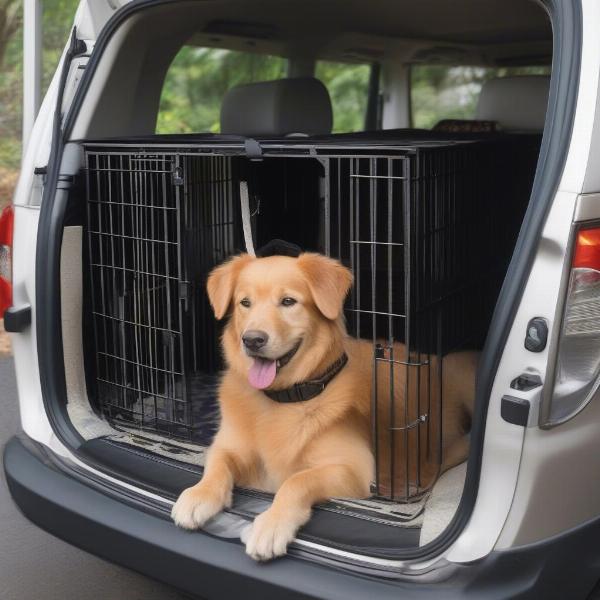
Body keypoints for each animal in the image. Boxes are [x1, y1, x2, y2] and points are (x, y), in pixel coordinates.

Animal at [170, 251, 478, 560]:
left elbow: (296, 481)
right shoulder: (226, 445)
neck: (282, 398)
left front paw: (272, 524)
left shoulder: (354, 468)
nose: (253, 340)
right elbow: (217, 465)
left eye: (288, 301)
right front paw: (199, 494)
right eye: (245, 303)